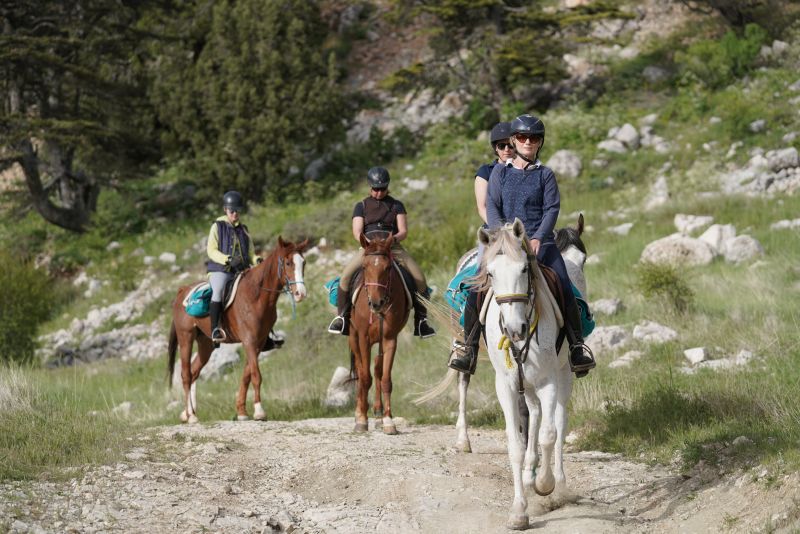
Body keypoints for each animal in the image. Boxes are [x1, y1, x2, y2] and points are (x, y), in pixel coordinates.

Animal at [167, 237, 308, 426]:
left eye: (303, 263)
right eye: (288, 263)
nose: (301, 294)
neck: (256, 295)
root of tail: (183, 291)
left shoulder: (258, 343)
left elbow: (246, 376)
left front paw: (241, 411)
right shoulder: (249, 341)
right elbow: (256, 375)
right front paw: (259, 412)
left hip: (206, 345)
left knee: (194, 372)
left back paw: (188, 413)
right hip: (186, 339)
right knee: (186, 375)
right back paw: (190, 415)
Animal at [352, 234, 412, 436]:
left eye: (387, 268)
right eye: (364, 267)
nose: (376, 303)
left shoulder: (390, 339)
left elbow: (385, 379)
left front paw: (388, 420)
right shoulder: (363, 338)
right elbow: (365, 378)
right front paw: (362, 420)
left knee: (377, 368)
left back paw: (378, 413)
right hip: (353, 339)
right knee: (360, 371)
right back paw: (359, 412)